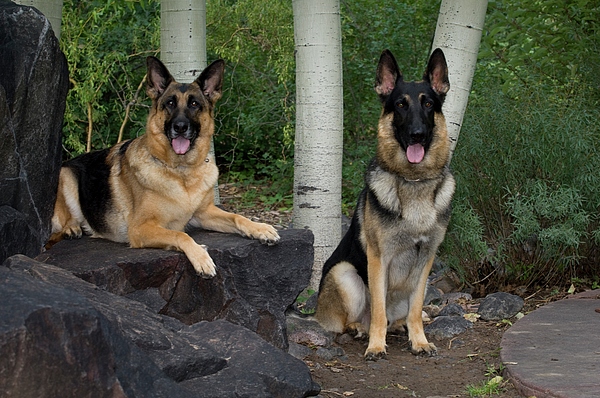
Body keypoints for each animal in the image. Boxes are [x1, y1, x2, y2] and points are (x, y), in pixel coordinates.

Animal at [48, 56, 280, 276]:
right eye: (169, 103)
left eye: (194, 104)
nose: (180, 127)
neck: (182, 171)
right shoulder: (140, 229)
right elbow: (180, 234)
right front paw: (201, 256)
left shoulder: (204, 213)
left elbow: (236, 216)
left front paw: (259, 228)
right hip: (66, 175)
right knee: (59, 223)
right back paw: (71, 228)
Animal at [316, 49, 452, 360]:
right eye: (400, 105)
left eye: (428, 104)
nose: (417, 134)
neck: (413, 181)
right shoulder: (379, 260)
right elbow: (377, 309)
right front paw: (376, 346)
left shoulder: (426, 260)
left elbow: (417, 307)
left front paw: (419, 340)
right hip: (345, 274)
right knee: (353, 321)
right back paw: (361, 329)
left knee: (402, 314)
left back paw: (400, 325)